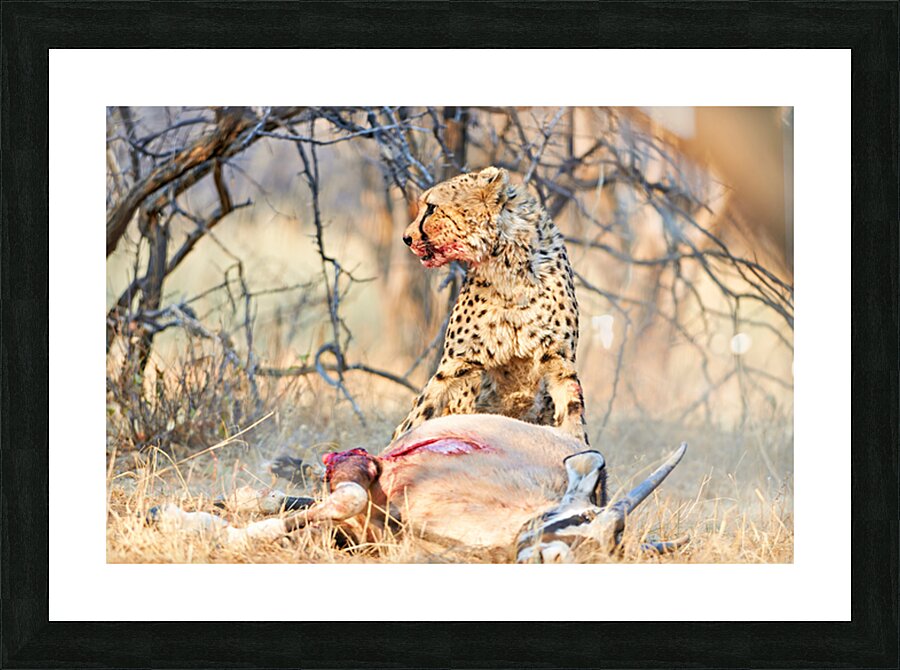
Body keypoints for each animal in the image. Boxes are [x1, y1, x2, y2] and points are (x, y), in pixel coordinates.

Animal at [393, 166, 589, 445]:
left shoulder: (558, 361)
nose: (406, 238)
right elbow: (420, 413)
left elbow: (572, 414)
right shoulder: (456, 362)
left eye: (431, 208)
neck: (507, 266)